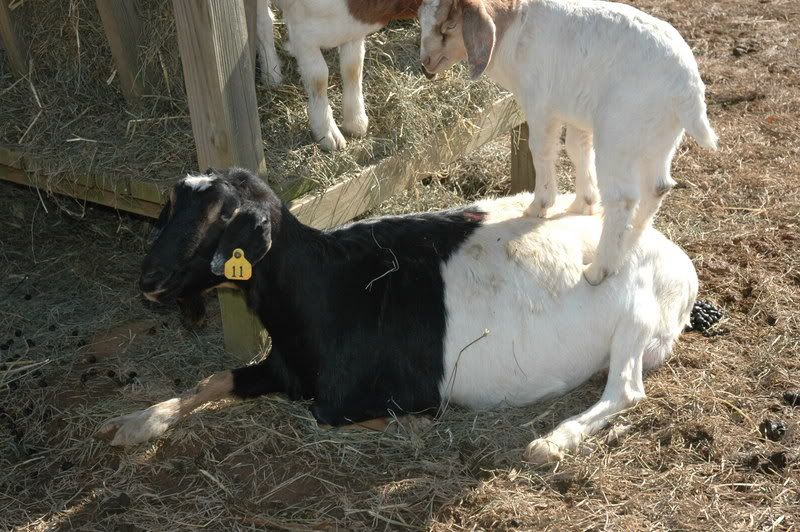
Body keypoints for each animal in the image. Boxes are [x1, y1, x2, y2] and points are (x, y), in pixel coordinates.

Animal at [96, 167, 699, 464]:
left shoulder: (363, 392)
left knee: (626, 391)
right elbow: (213, 379)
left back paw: (552, 442)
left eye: (223, 217)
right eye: (170, 205)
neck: (326, 290)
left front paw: (412, 423)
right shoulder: (285, 366)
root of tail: (681, 261)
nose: (149, 280)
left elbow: (325, 415)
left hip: (638, 313)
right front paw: (135, 422)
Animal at [418, 0, 718, 286]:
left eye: (448, 26)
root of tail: (688, 87)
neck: (513, 30)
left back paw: (598, 270)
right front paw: (582, 205)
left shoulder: (539, 105)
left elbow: (541, 150)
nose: (426, 63)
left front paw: (540, 206)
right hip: (659, 139)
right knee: (657, 188)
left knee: (622, 199)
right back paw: (626, 249)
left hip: (619, 134)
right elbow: (577, 148)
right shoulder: (577, 114)